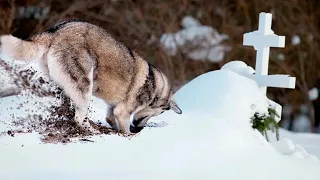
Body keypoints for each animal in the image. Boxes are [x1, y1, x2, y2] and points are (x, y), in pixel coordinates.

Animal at [0, 19, 181, 134]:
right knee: (79, 118)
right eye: (159, 113)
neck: (156, 86)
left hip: (64, 85)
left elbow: (110, 119)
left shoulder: (113, 108)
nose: (139, 129)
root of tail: (56, 30)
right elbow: (124, 129)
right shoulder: (123, 112)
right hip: (85, 87)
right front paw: (128, 135)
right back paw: (91, 130)